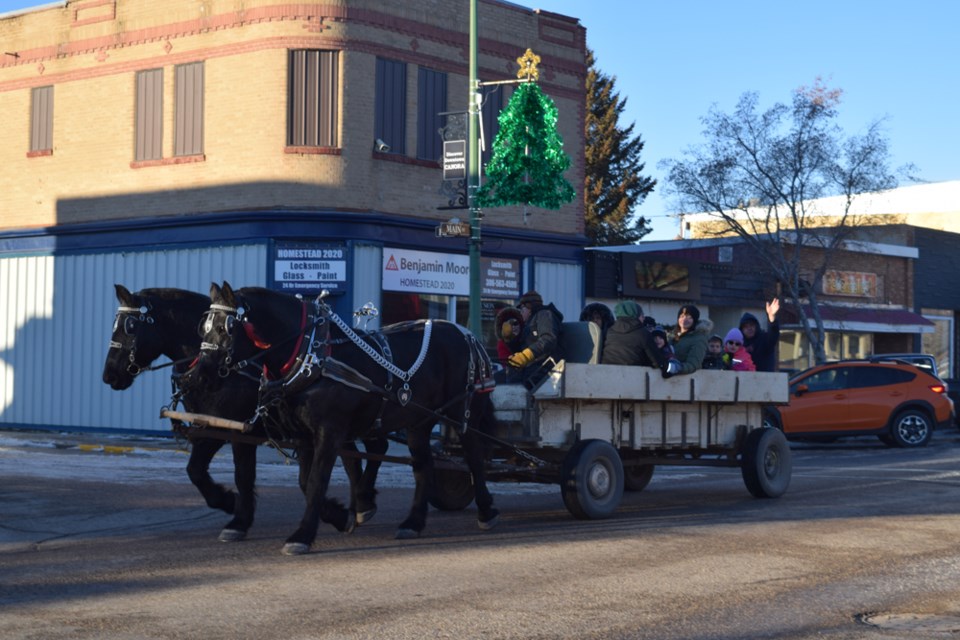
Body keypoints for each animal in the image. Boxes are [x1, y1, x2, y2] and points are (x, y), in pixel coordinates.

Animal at [101, 284, 386, 540]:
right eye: (114, 324)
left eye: (130, 326)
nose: (109, 375)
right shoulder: (212, 425)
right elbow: (197, 470)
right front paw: (231, 505)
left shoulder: (233, 428)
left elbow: (241, 475)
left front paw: (235, 512)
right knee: (354, 458)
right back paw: (360, 505)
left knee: (375, 449)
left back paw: (362, 503)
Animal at [189, 282, 502, 552]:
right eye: (203, 328)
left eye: (226, 328)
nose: (199, 377)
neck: (311, 355)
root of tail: (466, 334)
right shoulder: (300, 434)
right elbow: (299, 480)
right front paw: (341, 516)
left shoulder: (328, 431)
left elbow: (315, 480)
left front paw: (302, 535)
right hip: (416, 422)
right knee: (423, 465)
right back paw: (410, 521)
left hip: (463, 413)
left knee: (474, 457)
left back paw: (486, 511)